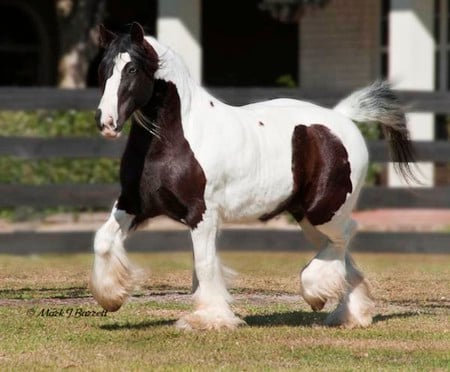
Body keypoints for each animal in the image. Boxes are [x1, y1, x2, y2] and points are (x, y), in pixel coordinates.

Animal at [89, 21, 416, 330]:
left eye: (131, 68)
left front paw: (210, 319)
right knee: (341, 255)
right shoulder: (133, 204)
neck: (177, 137)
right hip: (307, 217)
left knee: (347, 235)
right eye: (104, 67)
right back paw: (351, 314)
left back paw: (317, 295)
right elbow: (102, 240)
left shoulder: (201, 214)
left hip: (325, 211)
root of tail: (342, 119)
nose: (106, 122)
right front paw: (112, 298)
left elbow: (205, 265)